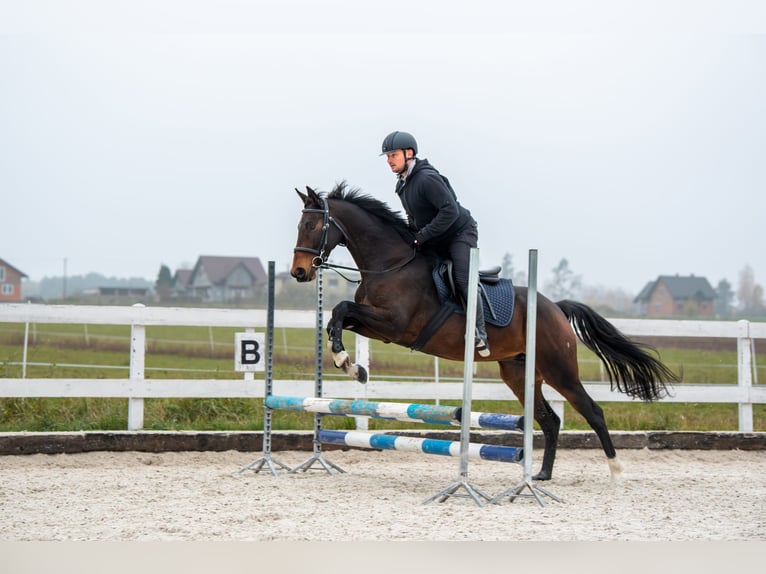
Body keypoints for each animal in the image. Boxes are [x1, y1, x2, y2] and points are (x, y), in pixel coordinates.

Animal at [292, 184, 680, 482]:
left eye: (311, 224)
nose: (299, 273)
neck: (391, 264)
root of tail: (555, 307)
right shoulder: (378, 326)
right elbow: (337, 317)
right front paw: (351, 365)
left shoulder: (394, 325)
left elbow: (342, 309)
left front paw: (347, 362)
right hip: (519, 371)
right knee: (549, 420)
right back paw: (541, 476)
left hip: (559, 369)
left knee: (592, 412)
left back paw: (616, 472)